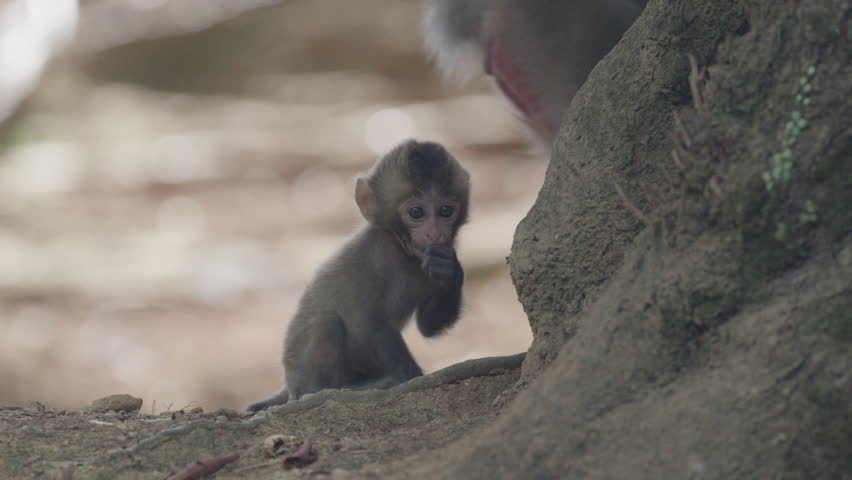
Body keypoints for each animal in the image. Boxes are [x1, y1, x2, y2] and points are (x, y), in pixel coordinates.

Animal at [247, 139, 470, 411]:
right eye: (417, 212)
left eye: (446, 210)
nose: (435, 233)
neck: (401, 251)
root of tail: (288, 385)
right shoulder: (377, 255)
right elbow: (367, 321)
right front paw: (410, 378)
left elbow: (428, 327)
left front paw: (450, 270)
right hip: (300, 371)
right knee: (327, 323)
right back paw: (318, 390)